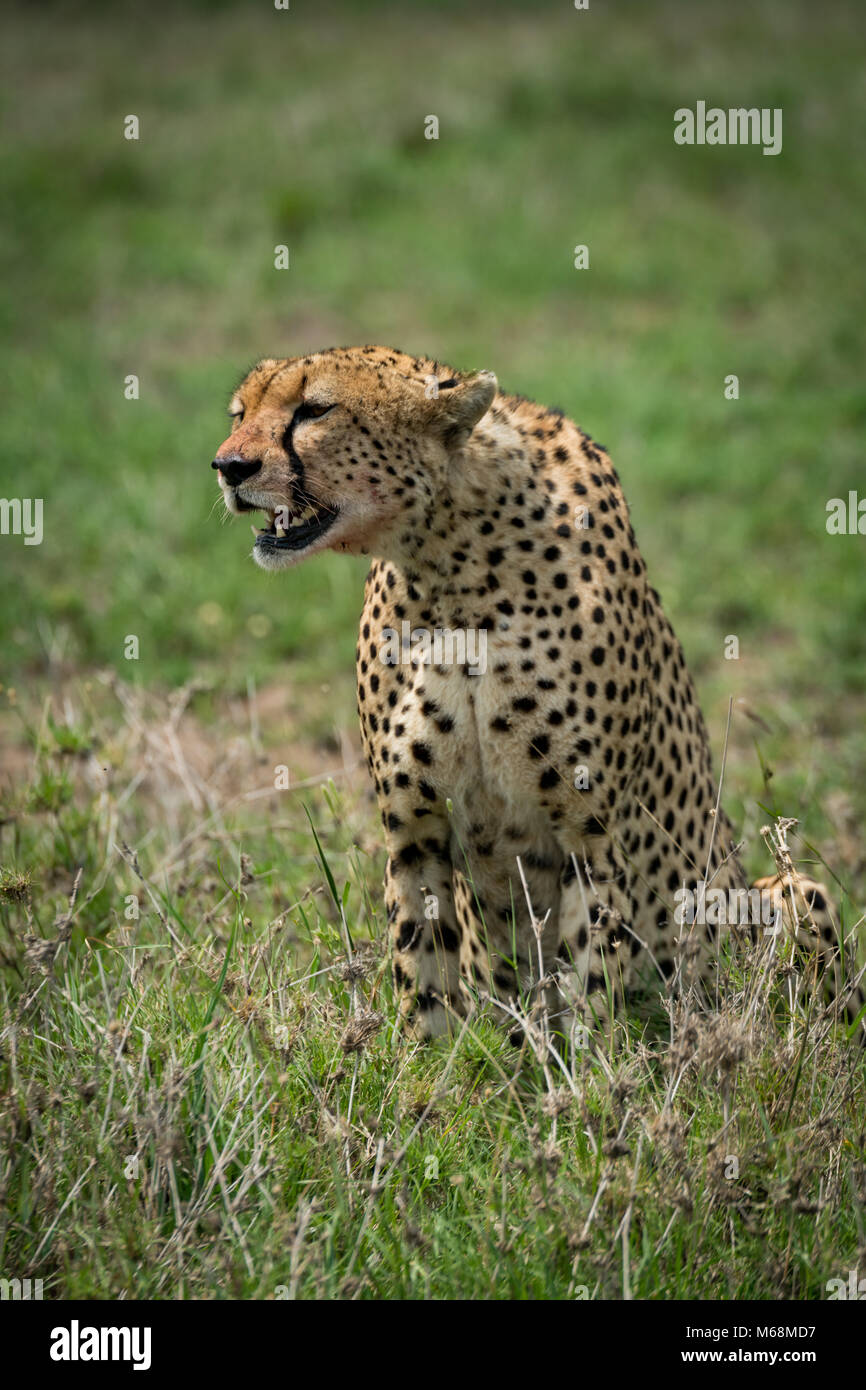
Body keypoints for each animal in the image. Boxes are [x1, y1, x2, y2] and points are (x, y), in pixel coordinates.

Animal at [214, 344, 861, 1045]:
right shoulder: (414, 828)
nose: (228, 467)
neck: (449, 562)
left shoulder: (592, 836)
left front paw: (584, 1069)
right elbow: (424, 974)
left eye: (315, 410)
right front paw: (429, 1069)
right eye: (240, 413)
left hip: (783, 893)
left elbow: (591, 986)